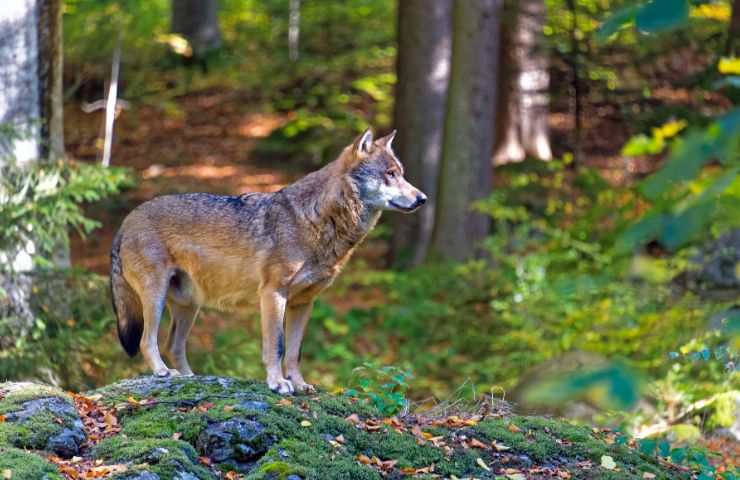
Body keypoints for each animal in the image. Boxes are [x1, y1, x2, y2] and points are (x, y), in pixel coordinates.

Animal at [107, 128, 424, 394]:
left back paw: (189, 378)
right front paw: (278, 383)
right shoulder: (273, 294)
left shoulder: (303, 303)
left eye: (402, 174)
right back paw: (162, 372)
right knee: (147, 341)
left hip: (189, 306)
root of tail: (126, 220)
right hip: (156, 297)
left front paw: (300, 384)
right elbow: (277, 346)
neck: (316, 219)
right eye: (390, 174)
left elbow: (295, 352)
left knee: (173, 345)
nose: (422, 198)